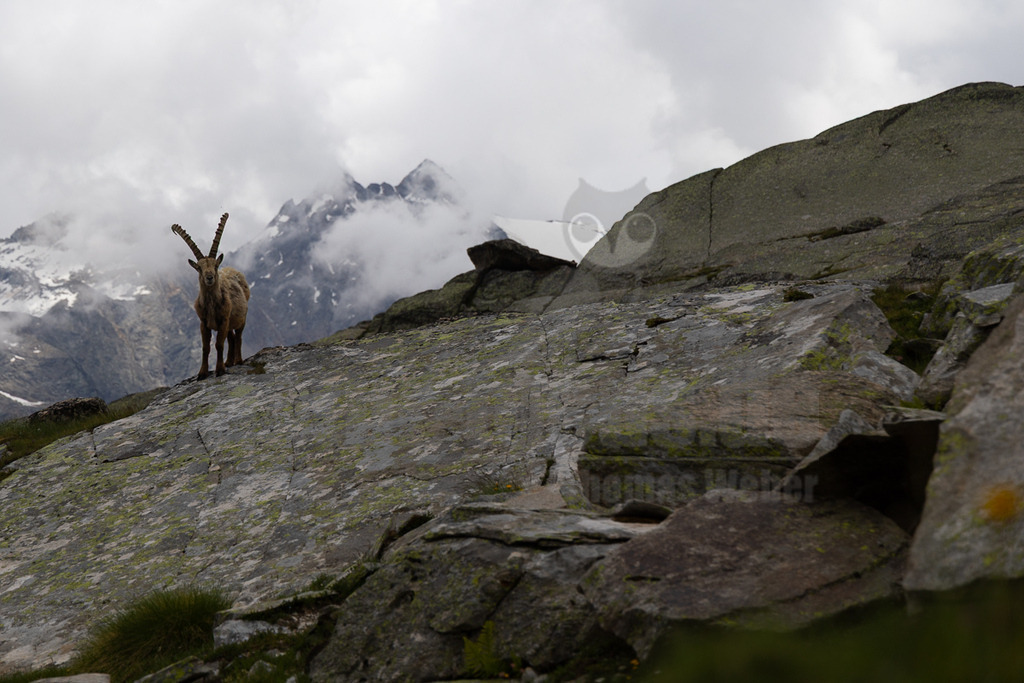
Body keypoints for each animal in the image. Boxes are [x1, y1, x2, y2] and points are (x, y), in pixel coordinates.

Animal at [171, 213, 251, 380]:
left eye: (215, 265)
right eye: (199, 268)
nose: (209, 277)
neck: (211, 304)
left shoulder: (223, 320)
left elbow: (218, 344)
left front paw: (219, 370)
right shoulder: (204, 323)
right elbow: (205, 348)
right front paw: (202, 373)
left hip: (241, 318)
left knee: (238, 337)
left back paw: (238, 360)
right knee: (231, 338)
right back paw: (229, 362)